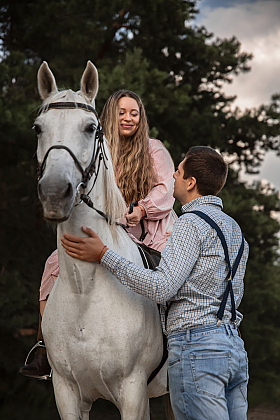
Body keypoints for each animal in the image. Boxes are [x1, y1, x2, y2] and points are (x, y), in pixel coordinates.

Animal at [35, 61, 173, 420]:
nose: (54, 193)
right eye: (38, 129)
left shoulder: (132, 393)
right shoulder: (67, 394)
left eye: (89, 127)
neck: (86, 290)